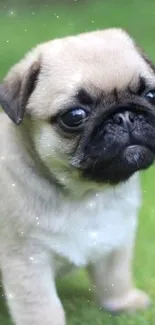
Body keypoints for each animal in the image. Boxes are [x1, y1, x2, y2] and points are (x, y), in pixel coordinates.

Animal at [0, 27, 155, 324]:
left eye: (151, 95)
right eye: (74, 116)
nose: (124, 116)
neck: (88, 194)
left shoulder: (116, 237)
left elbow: (115, 276)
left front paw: (124, 303)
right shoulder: (26, 259)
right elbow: (42, 307)